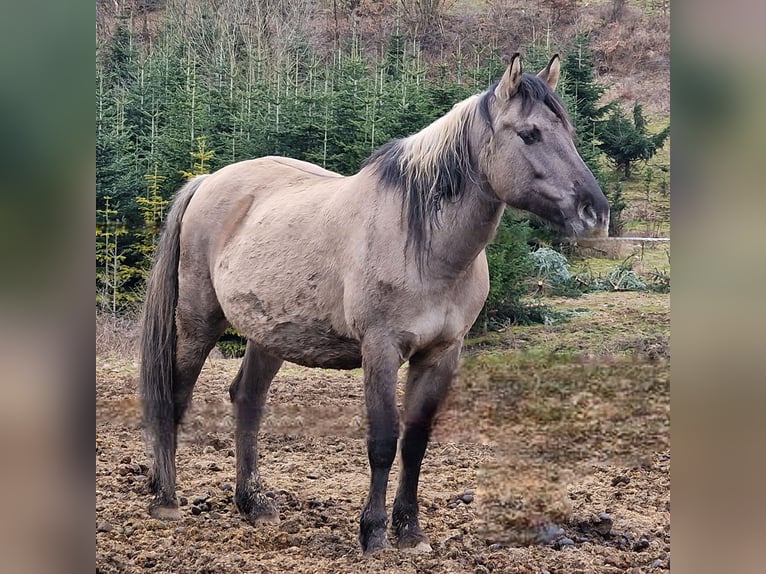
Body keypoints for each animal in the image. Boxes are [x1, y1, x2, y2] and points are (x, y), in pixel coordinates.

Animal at [141, 53, 612, 552]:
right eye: (529, 134)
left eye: (570, 134)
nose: (595, 214)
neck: (422, 241)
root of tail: (208, 180)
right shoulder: (381, 348)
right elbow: (383, 440)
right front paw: (373, 532)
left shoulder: (441, 354)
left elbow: (416, 442)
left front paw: (411, 531)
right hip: (198, 321)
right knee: (175, 396)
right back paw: (166, 498)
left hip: (268, 335)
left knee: (247, 400)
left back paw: (253, 502)